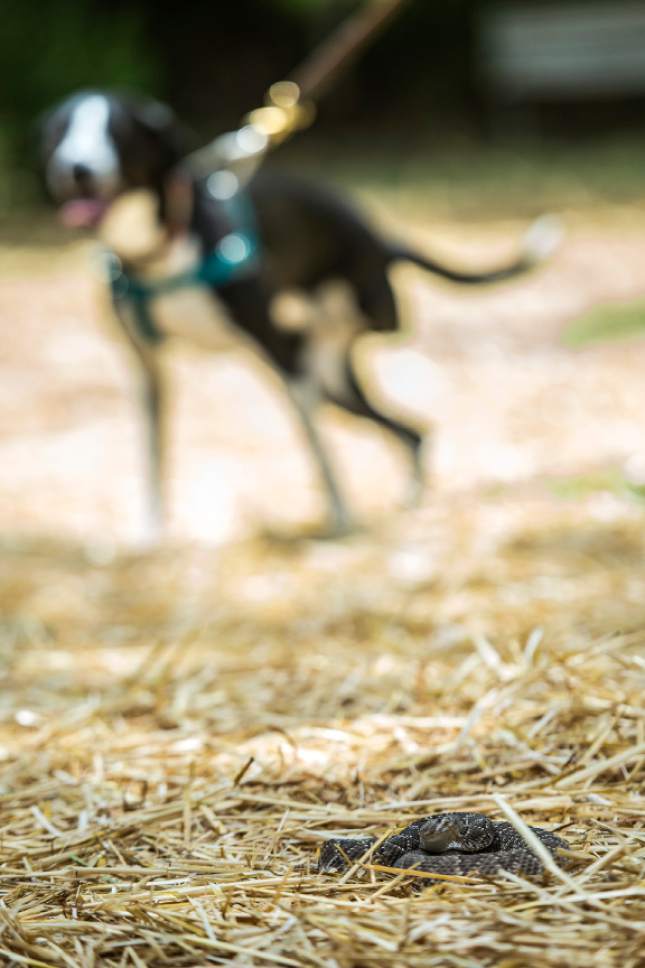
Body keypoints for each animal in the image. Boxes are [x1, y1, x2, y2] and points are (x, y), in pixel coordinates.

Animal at [39, 91, 560, 536]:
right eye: (60, 131)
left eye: (118, 132)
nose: (76, 168)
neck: (158, 252)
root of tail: (380, 238)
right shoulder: (147, 371)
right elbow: (153, 455)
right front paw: (150, 534)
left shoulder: (278, 353)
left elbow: (319, 451)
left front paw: (341, 516)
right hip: (337, 388)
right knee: (412, 432)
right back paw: (410, 495)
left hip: (364, 320)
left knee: (363, 344)